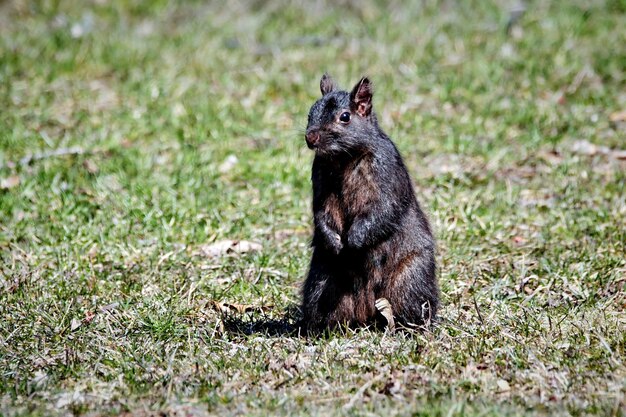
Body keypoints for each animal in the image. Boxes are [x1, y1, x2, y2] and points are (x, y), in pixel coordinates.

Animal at [300, 73, 436, 330]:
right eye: (310, 112)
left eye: (345, 117)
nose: (310, 137)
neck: (344, 158)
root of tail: (367, 313)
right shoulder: (320, 178)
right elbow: (321, 212)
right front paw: (334, 242)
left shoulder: (386, 174)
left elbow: (383, 210)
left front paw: (354, 241)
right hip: (321, 283)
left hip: (410, 280)